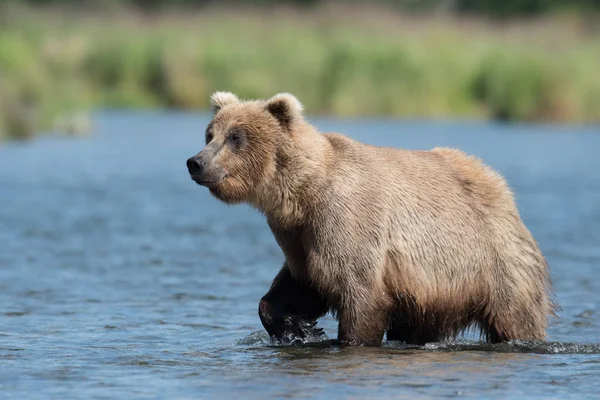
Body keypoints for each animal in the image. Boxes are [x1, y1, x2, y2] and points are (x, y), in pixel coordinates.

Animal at [188, 92, 556, 346]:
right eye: (210, 134)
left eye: (236, 137)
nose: (196, 162)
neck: (300, 194)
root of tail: (503, 190)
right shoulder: (299, 237)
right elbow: (297, 286)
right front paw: (298, 327)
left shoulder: (345, 220)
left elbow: (360, 294)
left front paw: (346, 338)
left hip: (493, 262)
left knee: (515, 317)